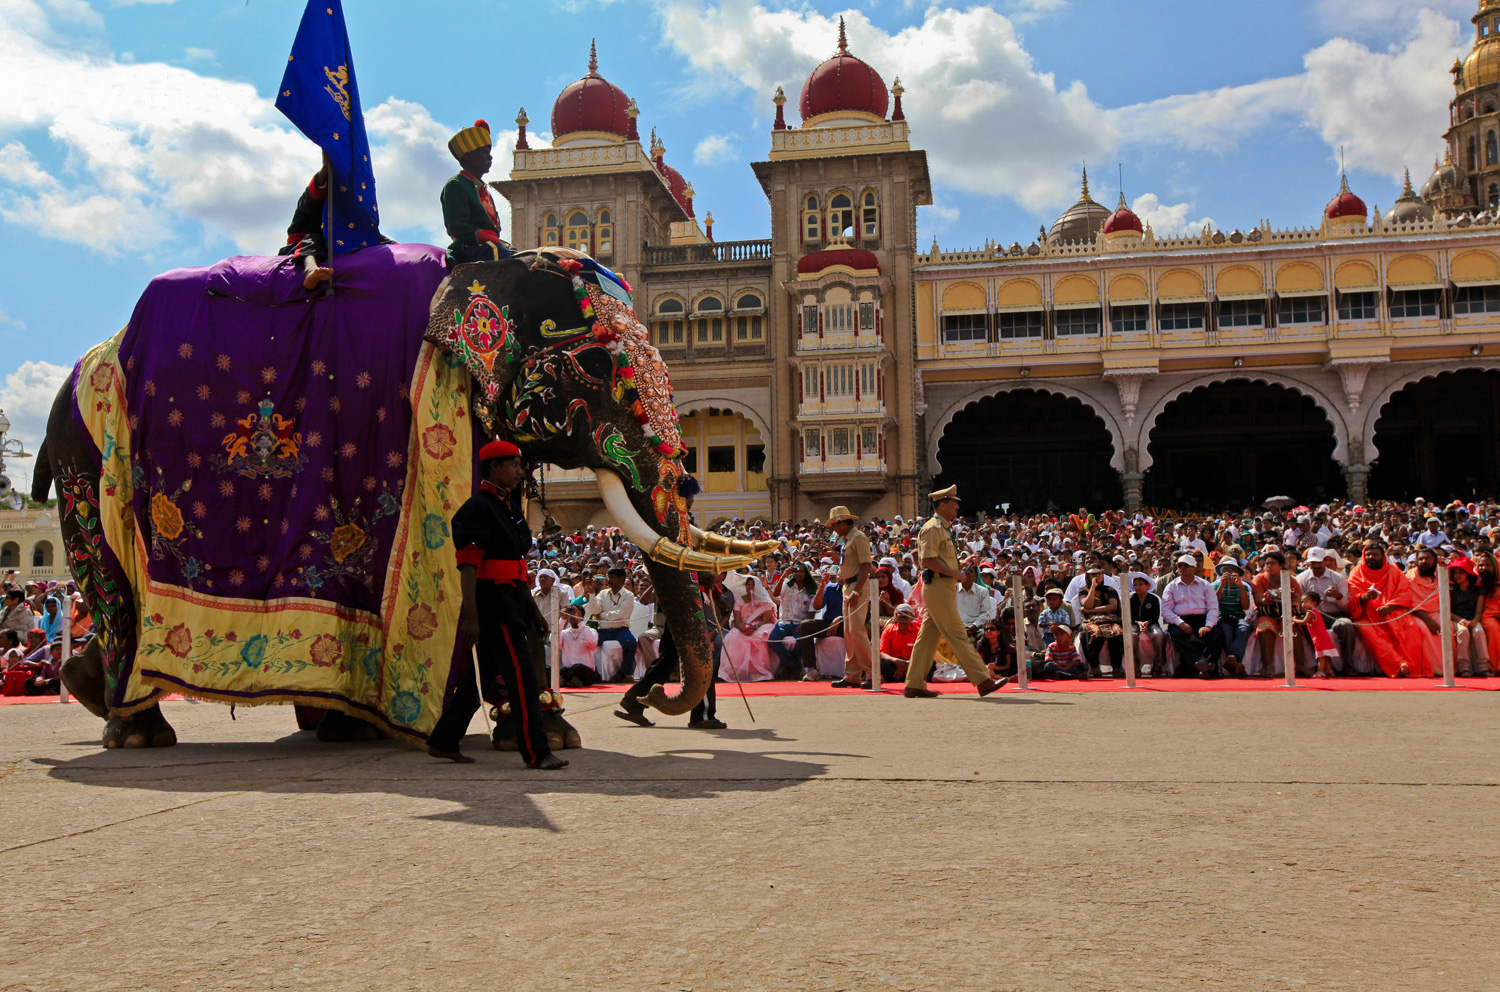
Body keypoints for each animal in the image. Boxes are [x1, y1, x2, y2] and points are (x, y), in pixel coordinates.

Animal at [33, 243, 774, 747]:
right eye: (594, 367)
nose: (658, 704)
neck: (489, 265)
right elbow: (473, 568)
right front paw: (538, 732)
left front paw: (548, 732)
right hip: (84, 457)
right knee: (107, 580)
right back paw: (135, 728)